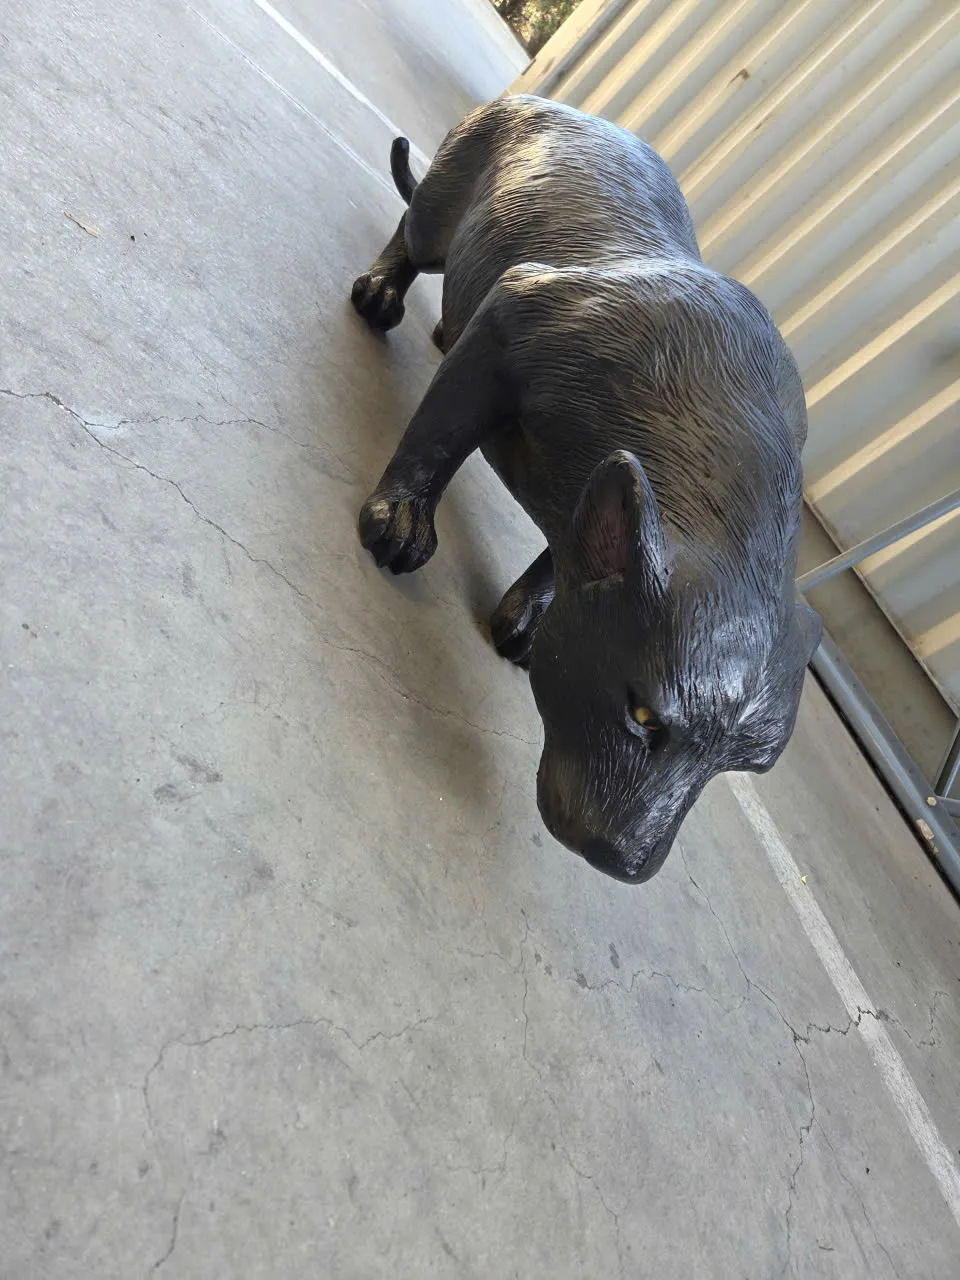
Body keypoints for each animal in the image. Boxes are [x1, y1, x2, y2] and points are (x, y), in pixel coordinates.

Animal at [351, 95, 821, 884]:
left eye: (739, 766)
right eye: (643, 715)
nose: (625, 858)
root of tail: (550, 101)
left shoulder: (607, 488)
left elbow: (576, 544)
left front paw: (525, 623)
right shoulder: (514, 319)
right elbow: (440, 435)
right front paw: (402, 520)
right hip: (439, 214)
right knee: (411, 235)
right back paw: (381, 294)